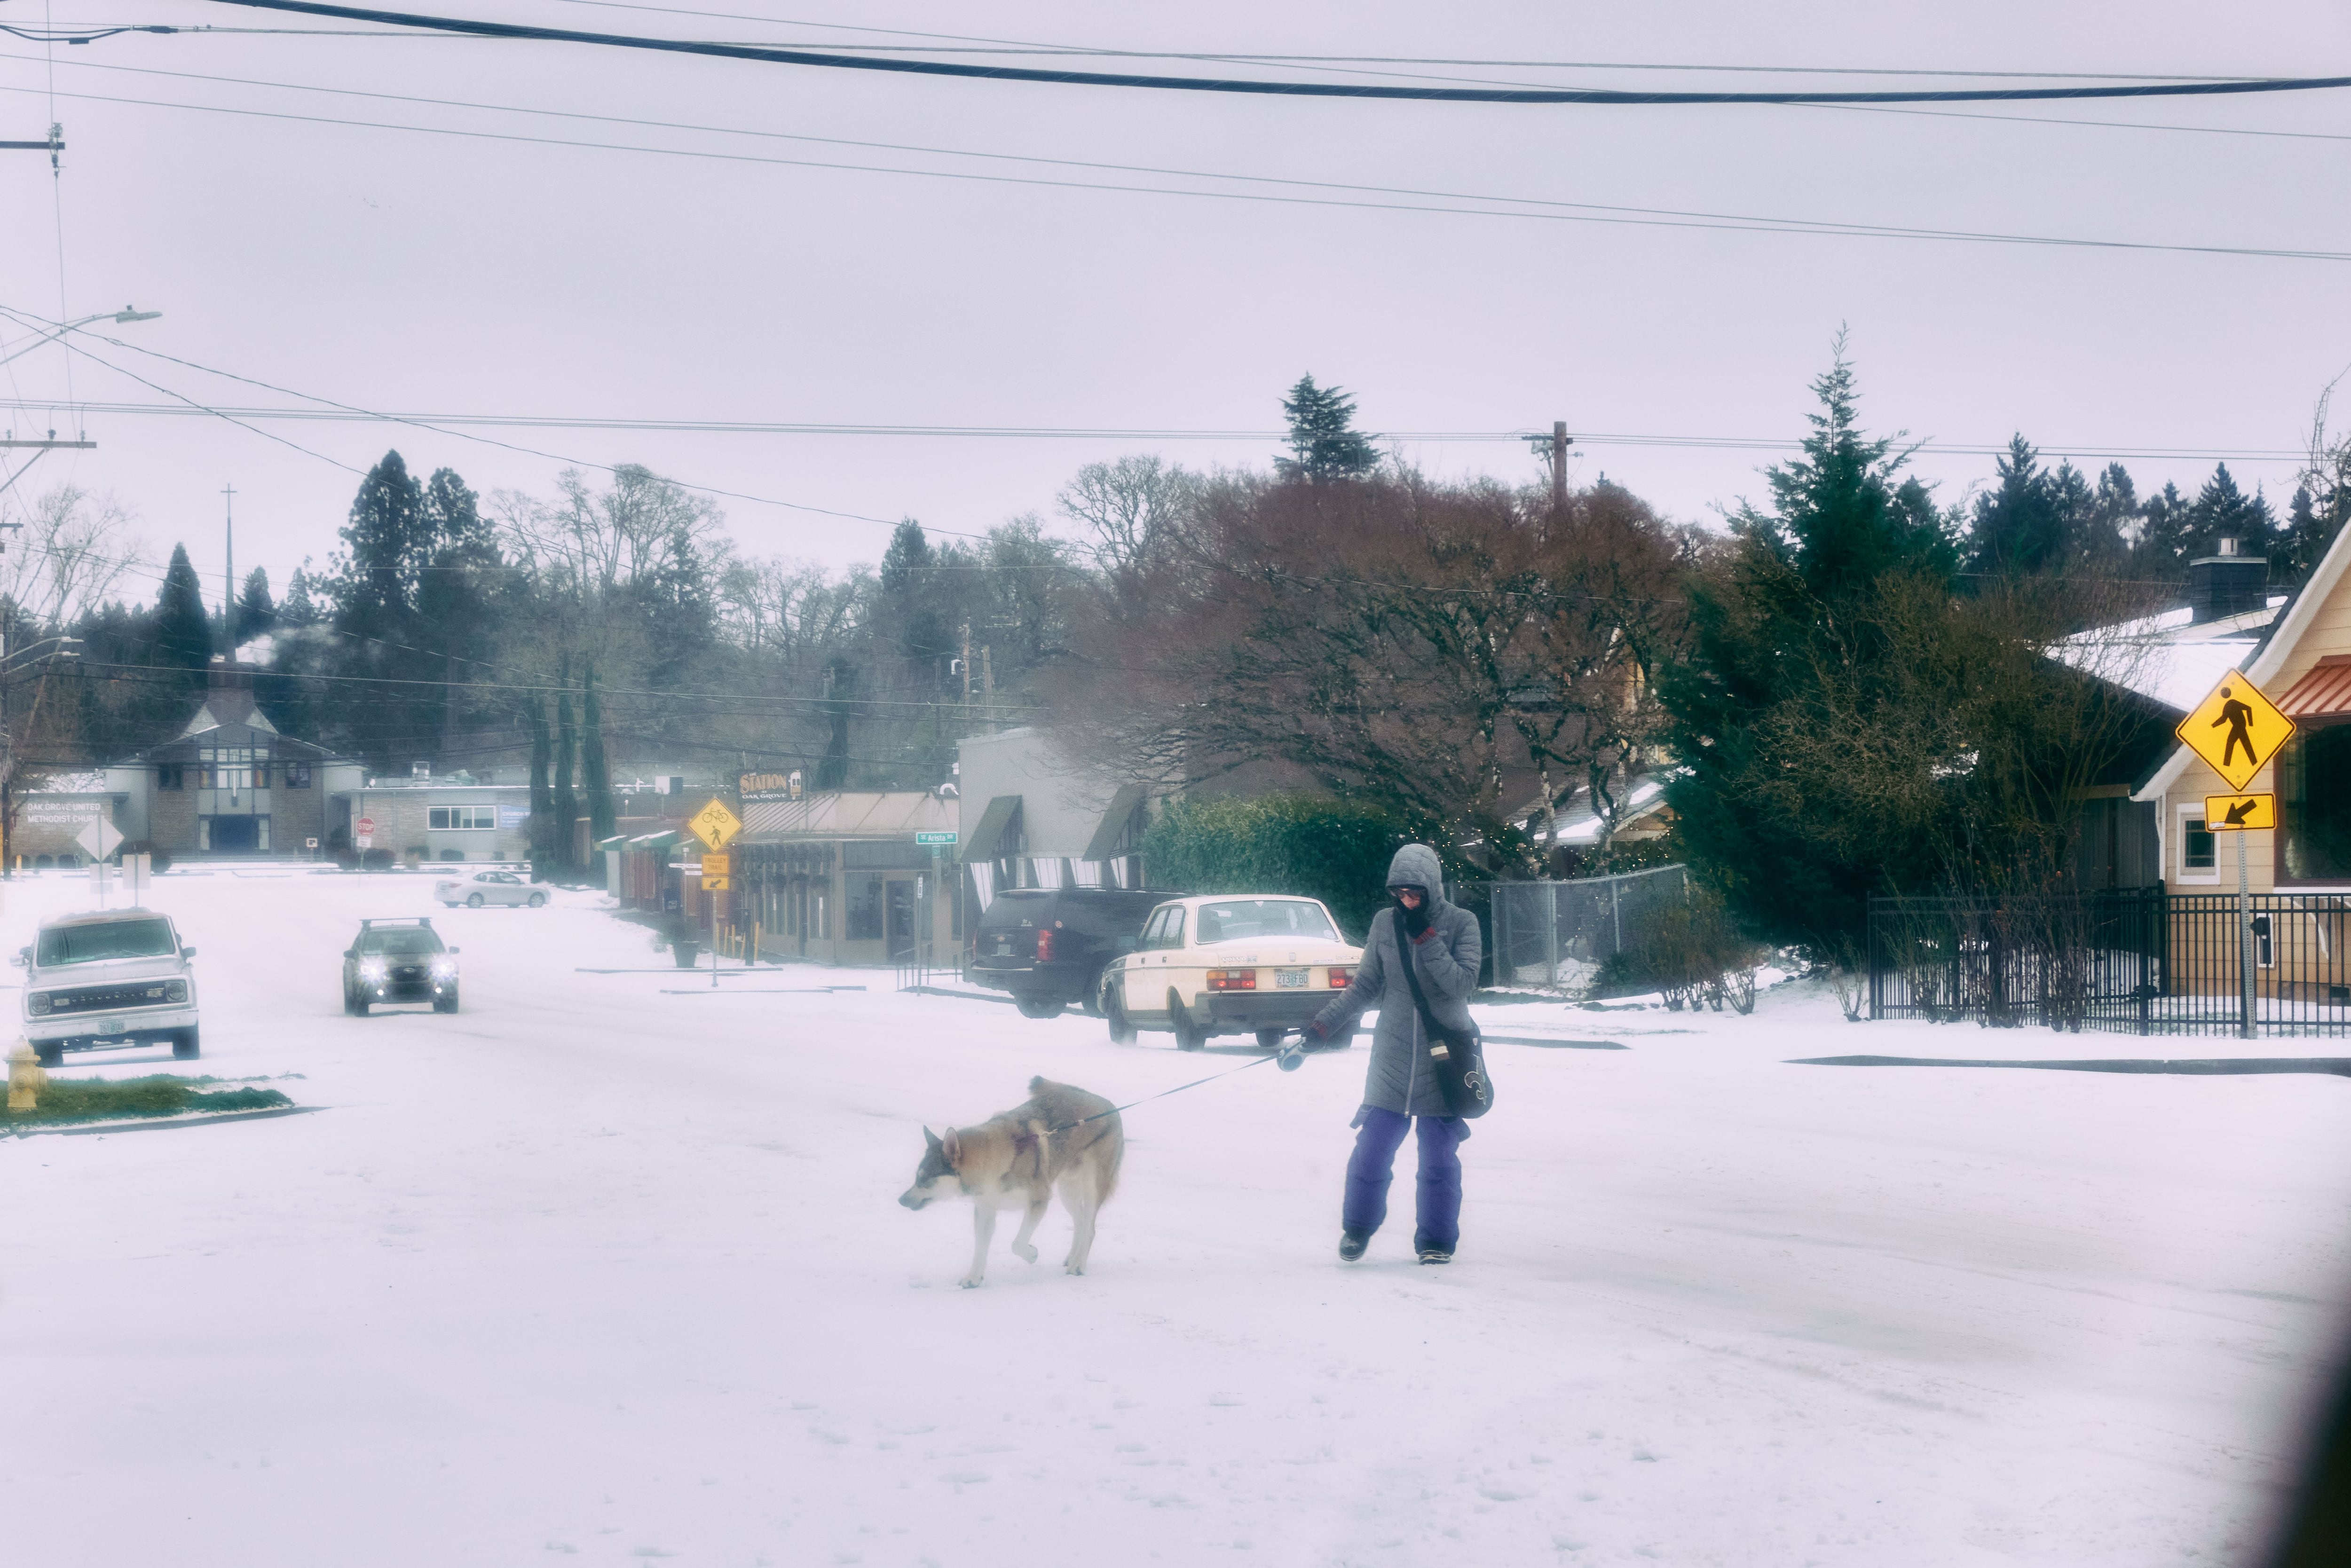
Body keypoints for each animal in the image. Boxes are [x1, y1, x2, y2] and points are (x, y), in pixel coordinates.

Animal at [898, 1081, 1119, 1288]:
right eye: (916, 1176)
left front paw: (1032, 1254)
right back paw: (1072, 1258)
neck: (993, 1163)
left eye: (925, 1178)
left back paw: (1078, 1265)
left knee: (1090, 1228)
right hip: (1068, 1190)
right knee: (1080, 1222)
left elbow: (1017, 1244)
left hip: (1091, 1186)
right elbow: (980, 1249)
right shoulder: (985, 1210)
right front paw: (974, 1278)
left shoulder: (1039, 1200)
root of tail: (1109, 1104)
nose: (901, 1200)